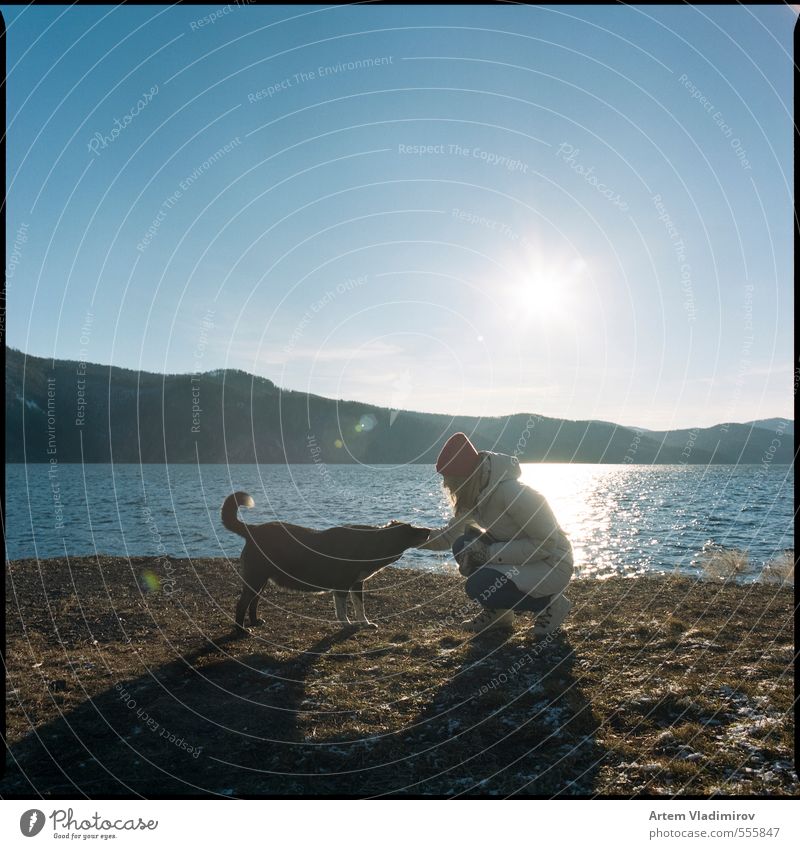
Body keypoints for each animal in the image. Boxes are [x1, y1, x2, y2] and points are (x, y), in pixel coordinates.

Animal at [219, 490, 432, 628]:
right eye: (411, 529)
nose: (429, 530)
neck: (372, 543)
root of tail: (252, 529)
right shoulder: (342, 586)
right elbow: (342, 610)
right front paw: (347, 625)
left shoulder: (357, 584)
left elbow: (359, 607)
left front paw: (365, 623)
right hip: (256, 578)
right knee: (242, 604)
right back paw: (241, 630)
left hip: (261, 580)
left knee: (253, 602)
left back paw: (255, 622)